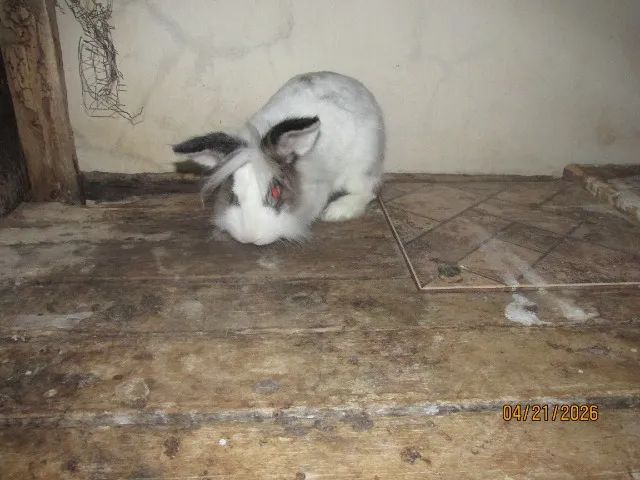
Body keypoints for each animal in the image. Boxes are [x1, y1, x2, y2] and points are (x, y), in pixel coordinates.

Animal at [172, 71, 385, 245]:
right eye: (233, 194)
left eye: (275, 192)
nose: (250, 237)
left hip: (360, 168)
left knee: (370, 190)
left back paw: (337, 211)